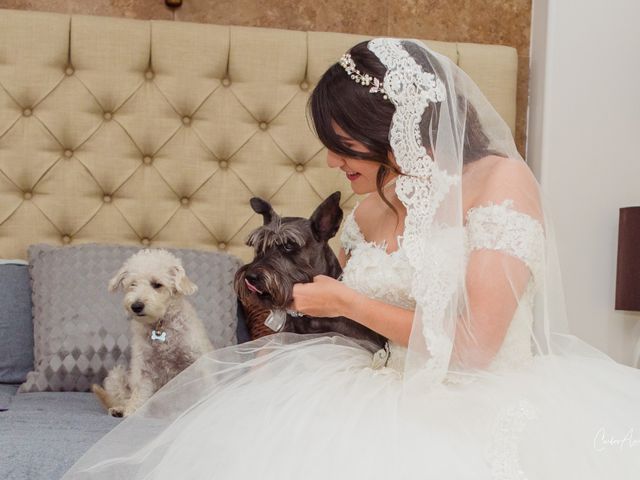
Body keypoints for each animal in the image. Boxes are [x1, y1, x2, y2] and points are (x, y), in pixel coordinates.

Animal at [92, 248, 214, 416]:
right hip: (116, 376)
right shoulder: (143, 368)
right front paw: (131, 414)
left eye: (157, 285)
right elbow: (139, 394)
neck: (160, 325)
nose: (136, 306)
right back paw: (120, 409)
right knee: (124, 397)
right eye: (133, 284)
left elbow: (207, 387)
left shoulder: (198, 361)